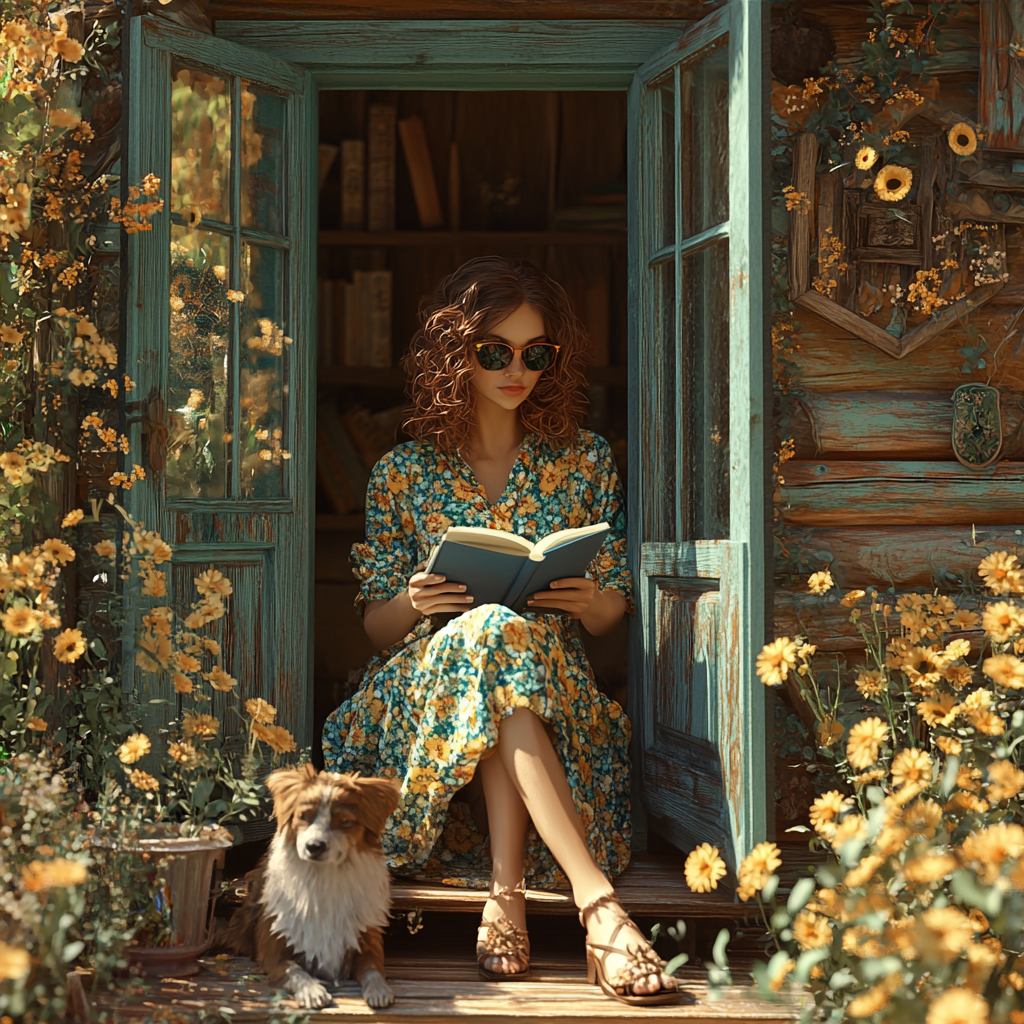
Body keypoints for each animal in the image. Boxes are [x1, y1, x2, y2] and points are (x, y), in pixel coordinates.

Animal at [219, 770, 399, 1007]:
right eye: (304, 815)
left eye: (346, 822)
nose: (314, 847)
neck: (323, 878)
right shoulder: (273, 950)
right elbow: (295, 969)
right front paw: (312, 990)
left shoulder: (366, 939)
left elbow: (373, 969)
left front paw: (379, 990)